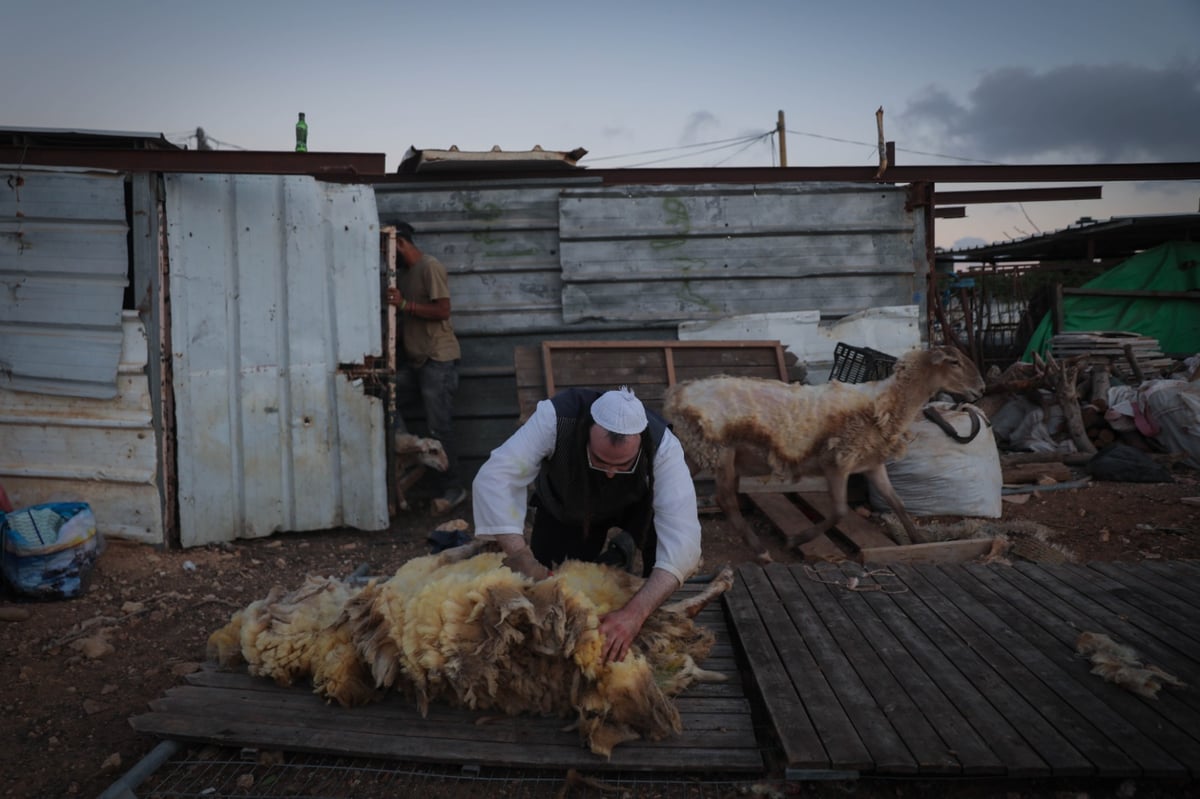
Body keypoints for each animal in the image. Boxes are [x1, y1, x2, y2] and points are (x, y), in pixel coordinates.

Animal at [667, 343, 984, 559]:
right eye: (954, 362)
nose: (981, 389)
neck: (885, 402)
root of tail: (677, 395)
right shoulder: (836, 462)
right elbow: (840, 512)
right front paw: (796, 540)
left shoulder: (872, 463)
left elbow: (897, 502)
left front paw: (918, 542)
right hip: (719, 449)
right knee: (725, 500)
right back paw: (759, 551)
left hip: (699, 450)